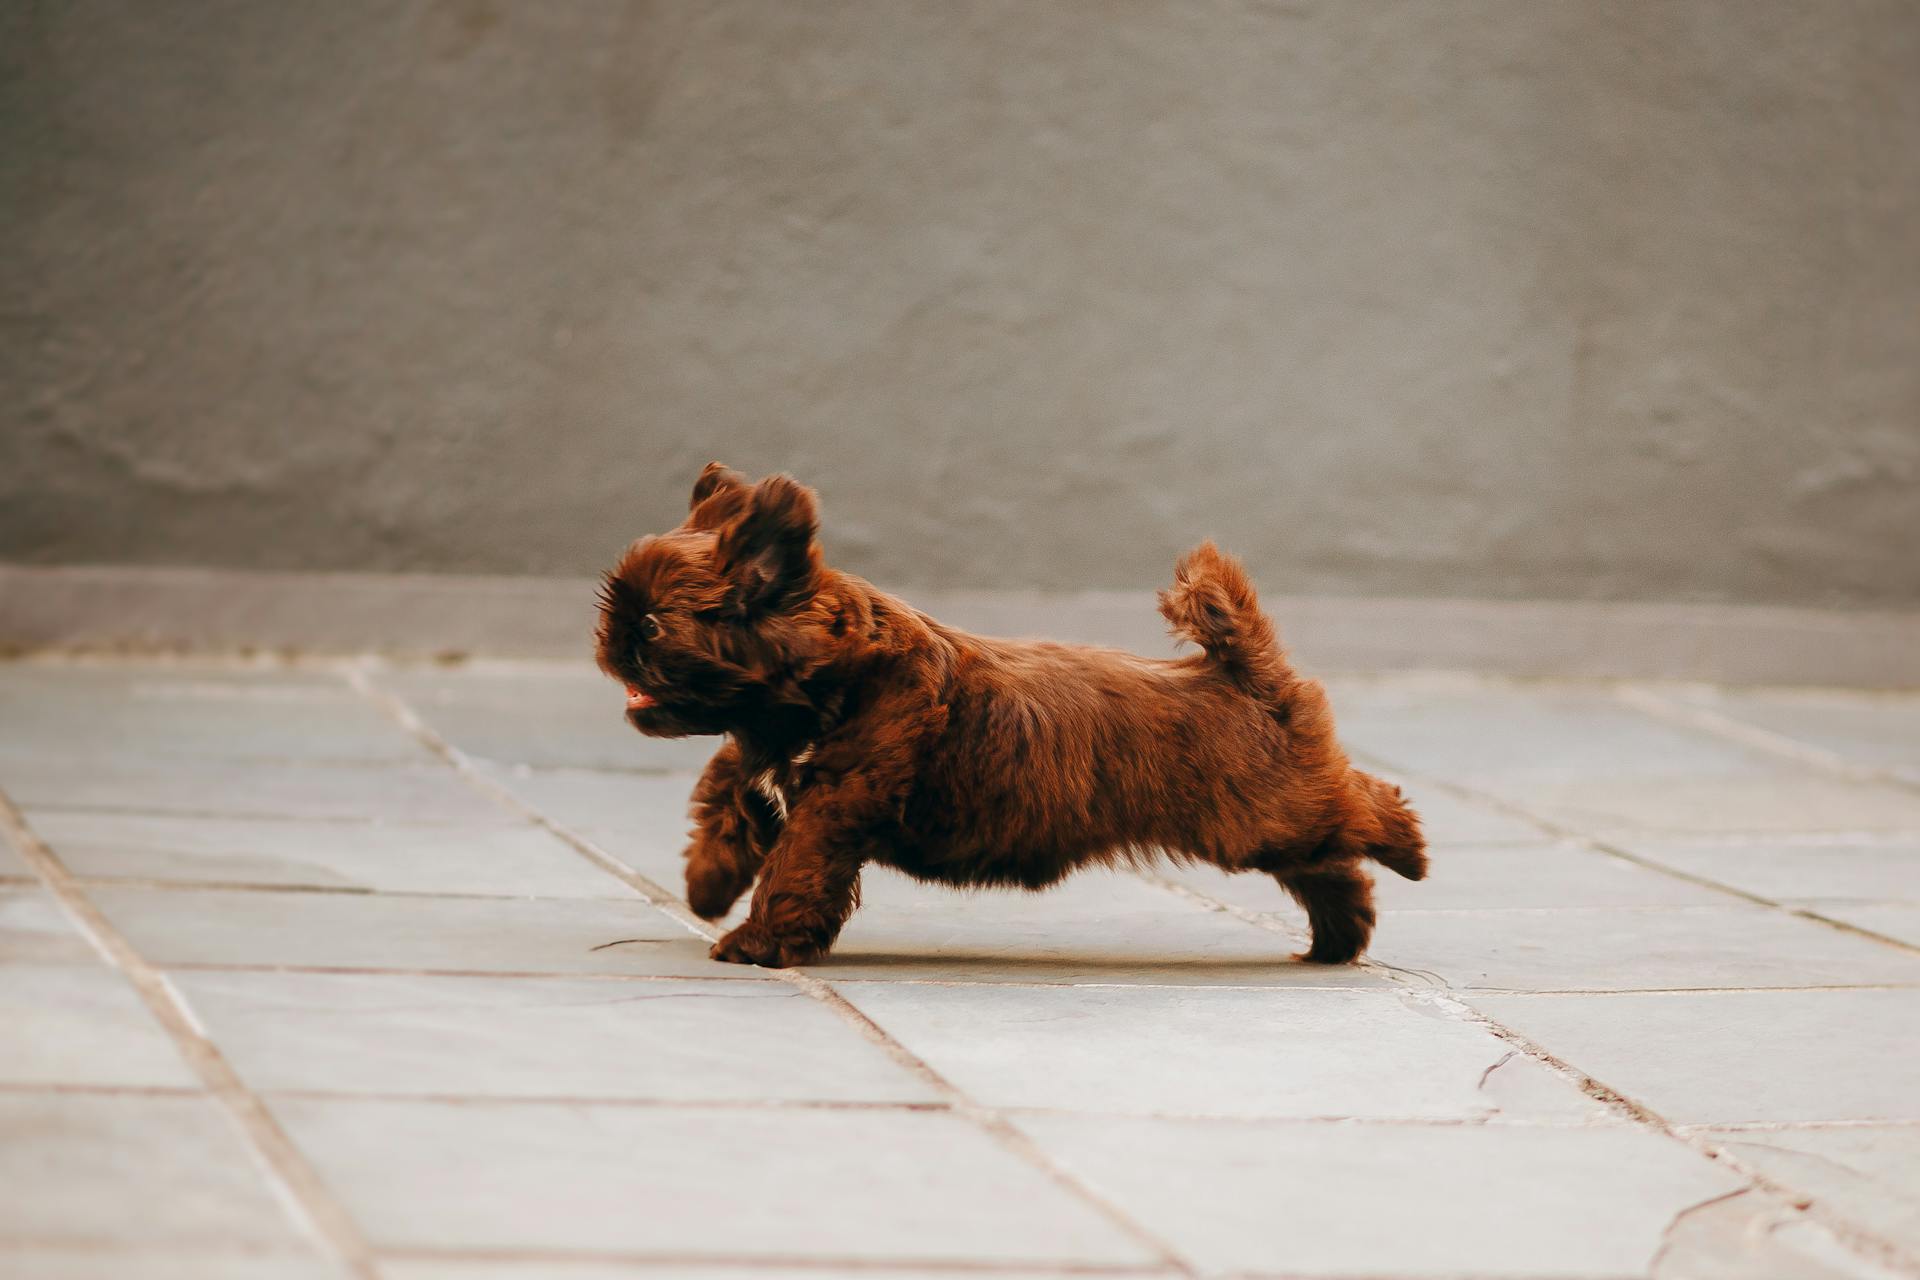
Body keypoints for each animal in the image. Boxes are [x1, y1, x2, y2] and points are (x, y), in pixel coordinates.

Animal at [599, 468, 1428, 971]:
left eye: (653, 625)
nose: (611, 639)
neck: (820, 680)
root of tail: (1241, 671)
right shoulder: (764, 769)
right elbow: (724, 799)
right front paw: (707, 885)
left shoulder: (834, 805)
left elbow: (793, 869)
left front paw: (755, 939)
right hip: (1265, 825)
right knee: (1330, 869)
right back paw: (1337, 940)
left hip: (1268, 812)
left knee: (1358, 807)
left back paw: (1409, 846)